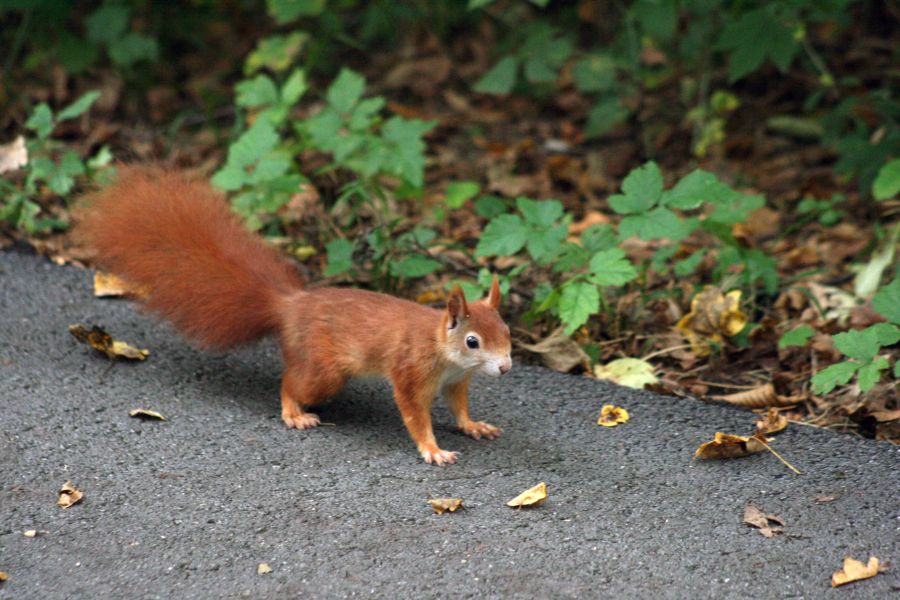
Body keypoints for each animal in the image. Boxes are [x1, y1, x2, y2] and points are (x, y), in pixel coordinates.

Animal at [75, 166, 512, 466]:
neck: (444, 350)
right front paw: (432, 449)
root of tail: (290, 306)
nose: (507, 367)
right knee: (290, 382)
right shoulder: (411, 371)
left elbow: (458, 405)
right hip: (324, 371)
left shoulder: (456, 380)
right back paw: (293, 413)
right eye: (472, 341)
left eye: (507, 331)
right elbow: (414, 414)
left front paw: (472, 425)